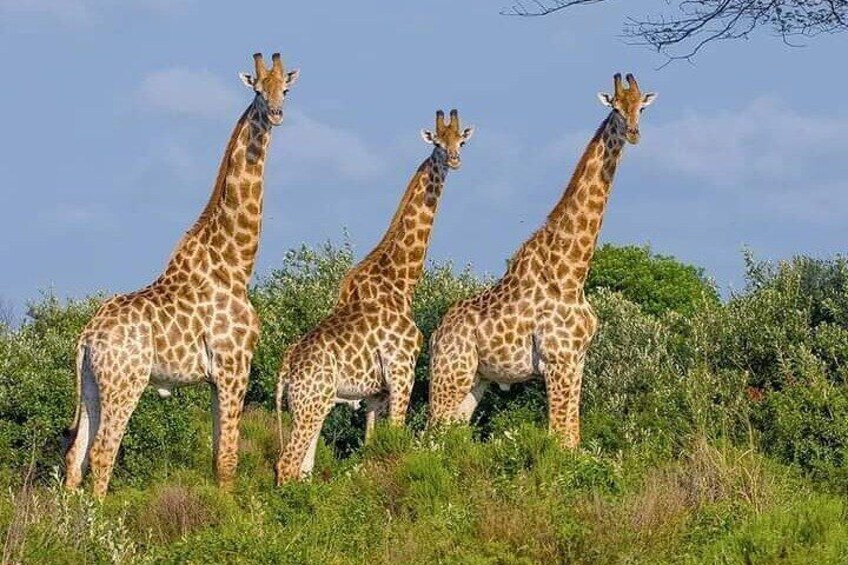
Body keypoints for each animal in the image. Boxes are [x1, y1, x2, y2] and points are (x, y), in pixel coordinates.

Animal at [63, 53, 299, 497]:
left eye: (286, 89)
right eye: (259, 91)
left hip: (91, 384)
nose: (277, 113)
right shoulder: (234, 365)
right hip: (125, 381)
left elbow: (216, 458)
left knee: (75, 458)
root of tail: (86, 337)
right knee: (103, 454)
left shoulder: (215, 378)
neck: (235, 264)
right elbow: (229, 460)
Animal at [274, 110, 474, 484]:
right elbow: (396, 440)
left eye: (461, 141)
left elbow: (370, 448)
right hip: (312, 401)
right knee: (287, 464)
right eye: (438, 144)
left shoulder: (374, 395)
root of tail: (285, 369)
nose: (454, 160)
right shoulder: (402, 370)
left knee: (304, 466)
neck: (400, 281)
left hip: (309, 405)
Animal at [427, 74, 656, 447]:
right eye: (616, 109)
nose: (634, 132)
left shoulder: (577, 361)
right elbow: (559, 437)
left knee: (452, 431)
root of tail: (436, 333)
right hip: (451, 373)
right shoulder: (557, 360)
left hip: (476, 379)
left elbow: (573, 436)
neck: (572, 273)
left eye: (641, 107)